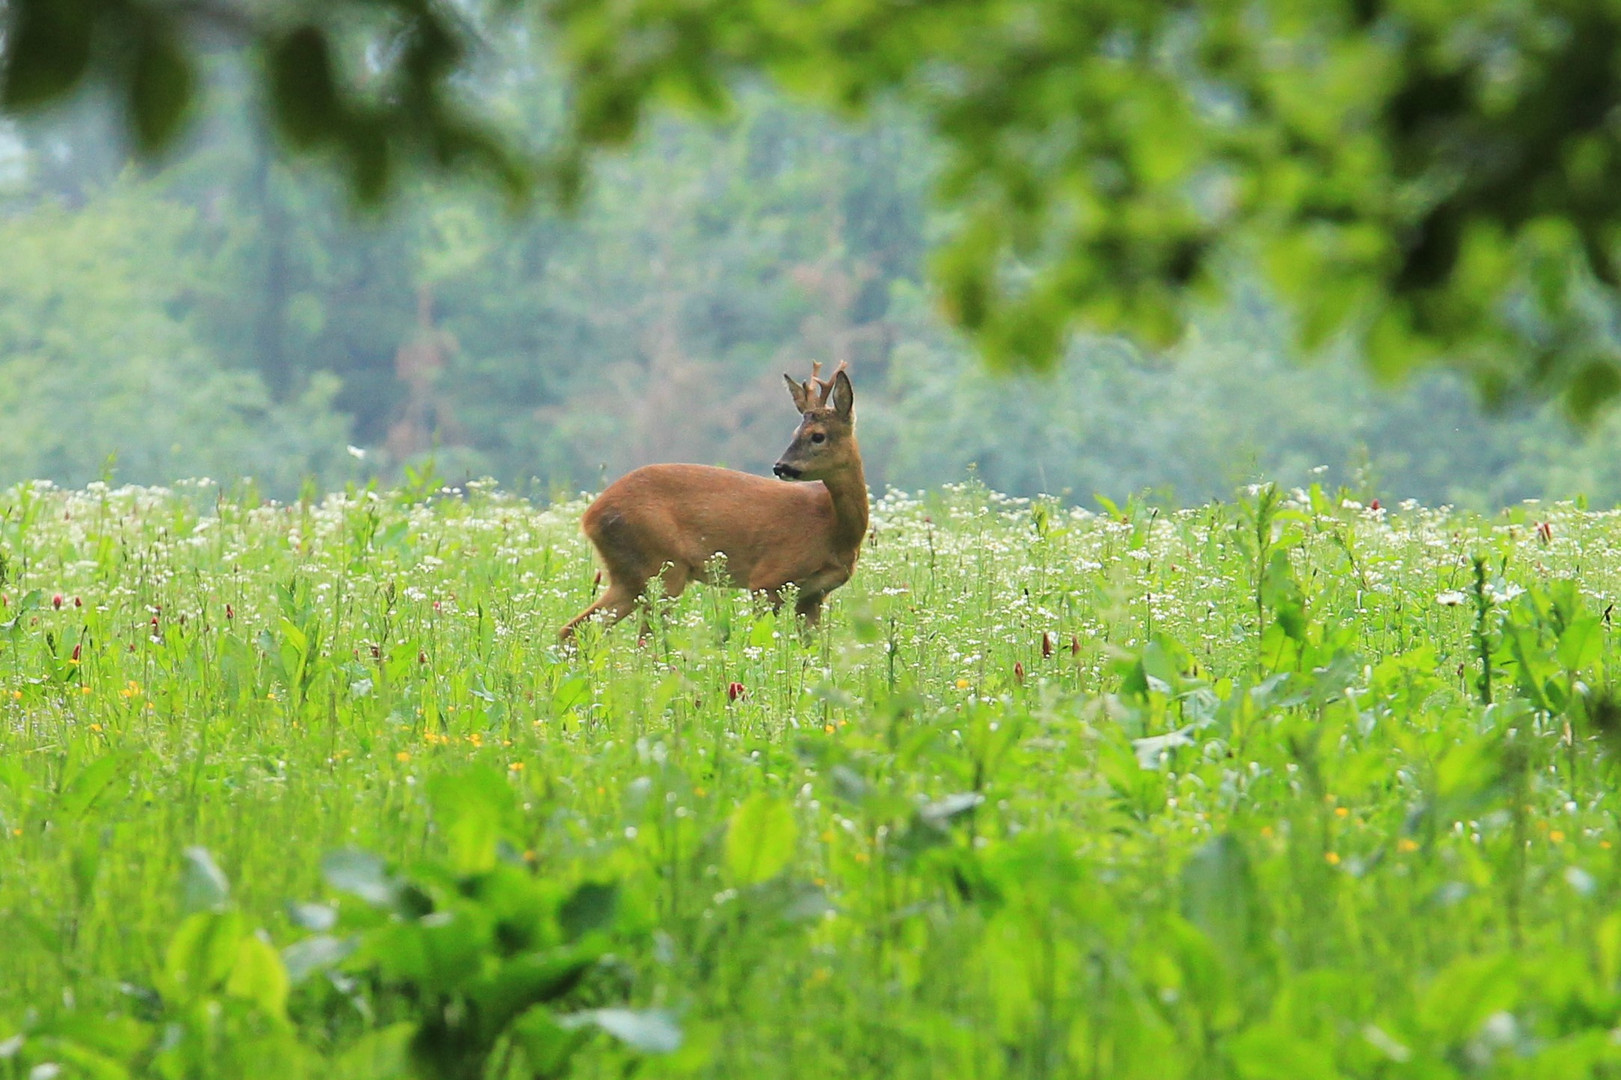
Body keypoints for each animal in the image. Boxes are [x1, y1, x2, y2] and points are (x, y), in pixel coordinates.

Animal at [560, 360, 868, 638]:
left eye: (818, 436)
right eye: (795, 433)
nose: (780, 466)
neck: (834, 529)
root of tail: (589, 517)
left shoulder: (814, 595)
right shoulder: (767, 578)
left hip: (630, 577)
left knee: (574, 630)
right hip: (662, 566)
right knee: (644, 640)